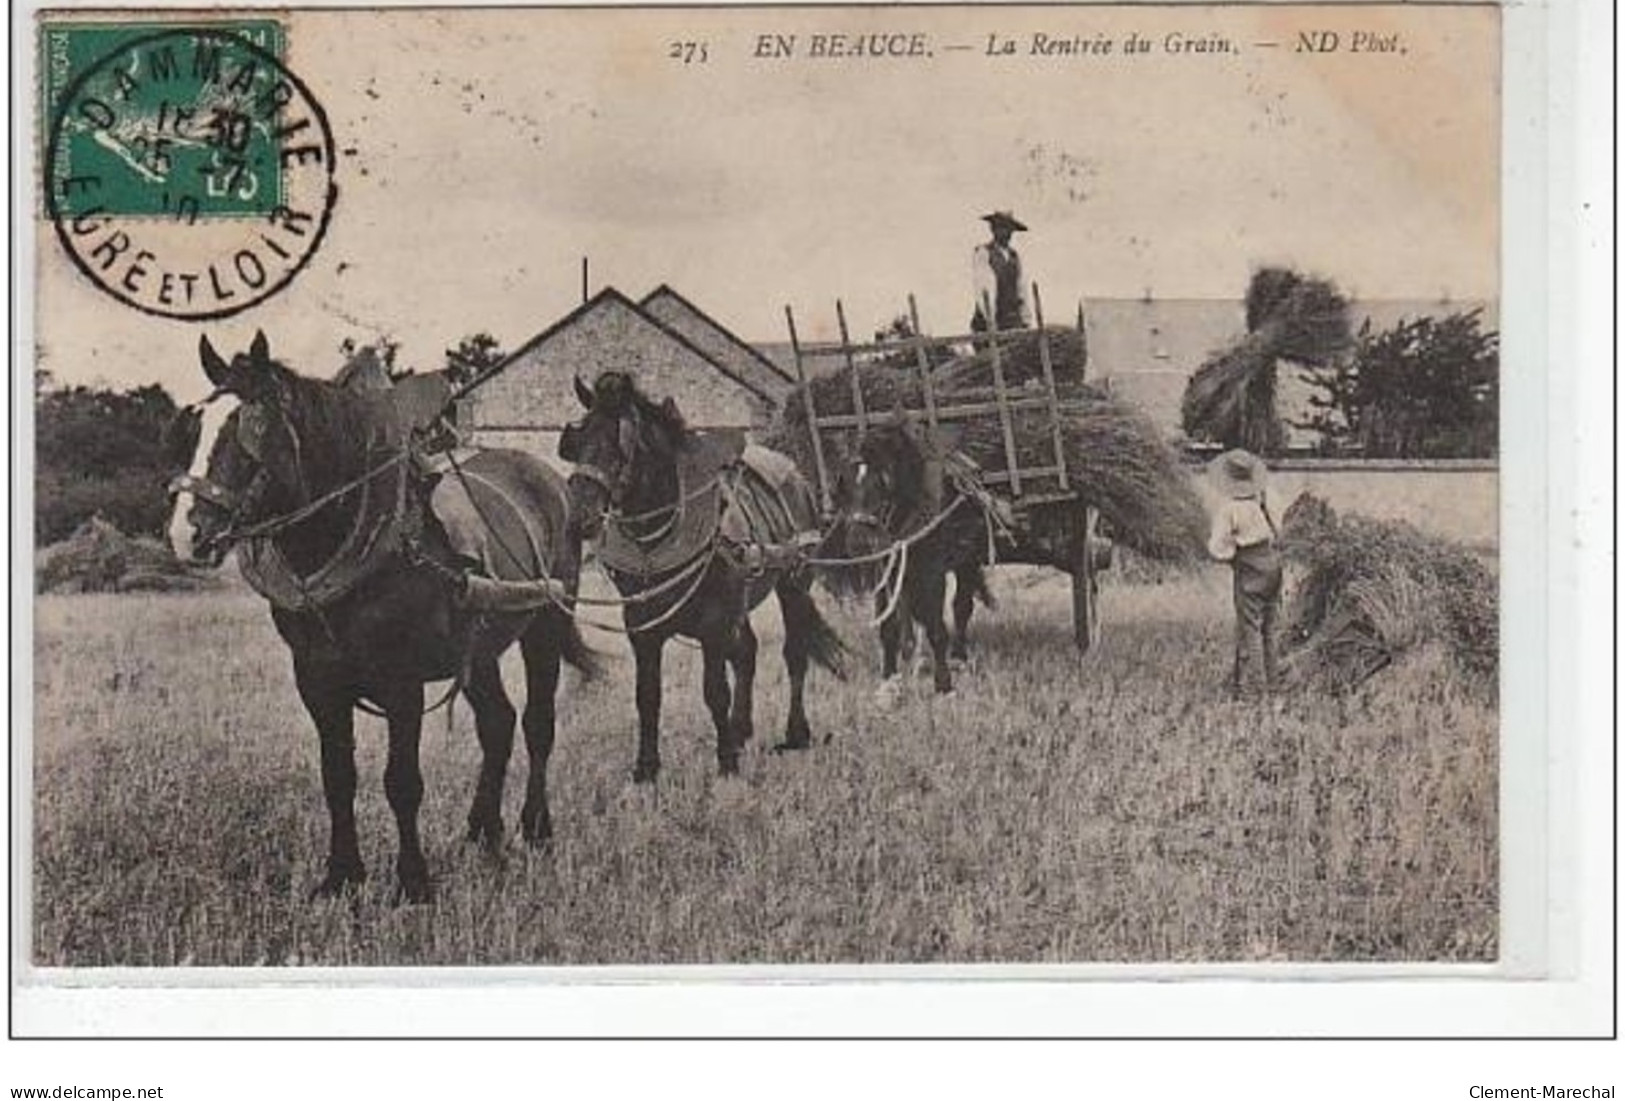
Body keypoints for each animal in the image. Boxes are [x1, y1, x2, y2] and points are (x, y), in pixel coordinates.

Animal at [168, 334, 598, 902]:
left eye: (250, 434)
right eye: (191, 430)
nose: (187, 536)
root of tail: (551, 481)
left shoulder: (402, 682)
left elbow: (402, 782)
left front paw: (413, 883)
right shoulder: (317, 679)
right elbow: (338, 777)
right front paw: (340, 877)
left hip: (547, 622)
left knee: (537, 724)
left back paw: (536, 829)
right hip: (478, 645)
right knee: (497, 722)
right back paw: (483, 833)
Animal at [562, 373, 851, 785]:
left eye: (621, 446)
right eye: (579, 437)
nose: (578, 515)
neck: (662, 535)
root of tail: (793, 472)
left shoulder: (714, 624)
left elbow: (715, 691)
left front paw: (726, 763)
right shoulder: (641, 627)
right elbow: (647, 695)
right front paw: (646, 769)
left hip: (794, 583)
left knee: (794, 655)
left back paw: (796, 733)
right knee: (747, 651)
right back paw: (741, 729)